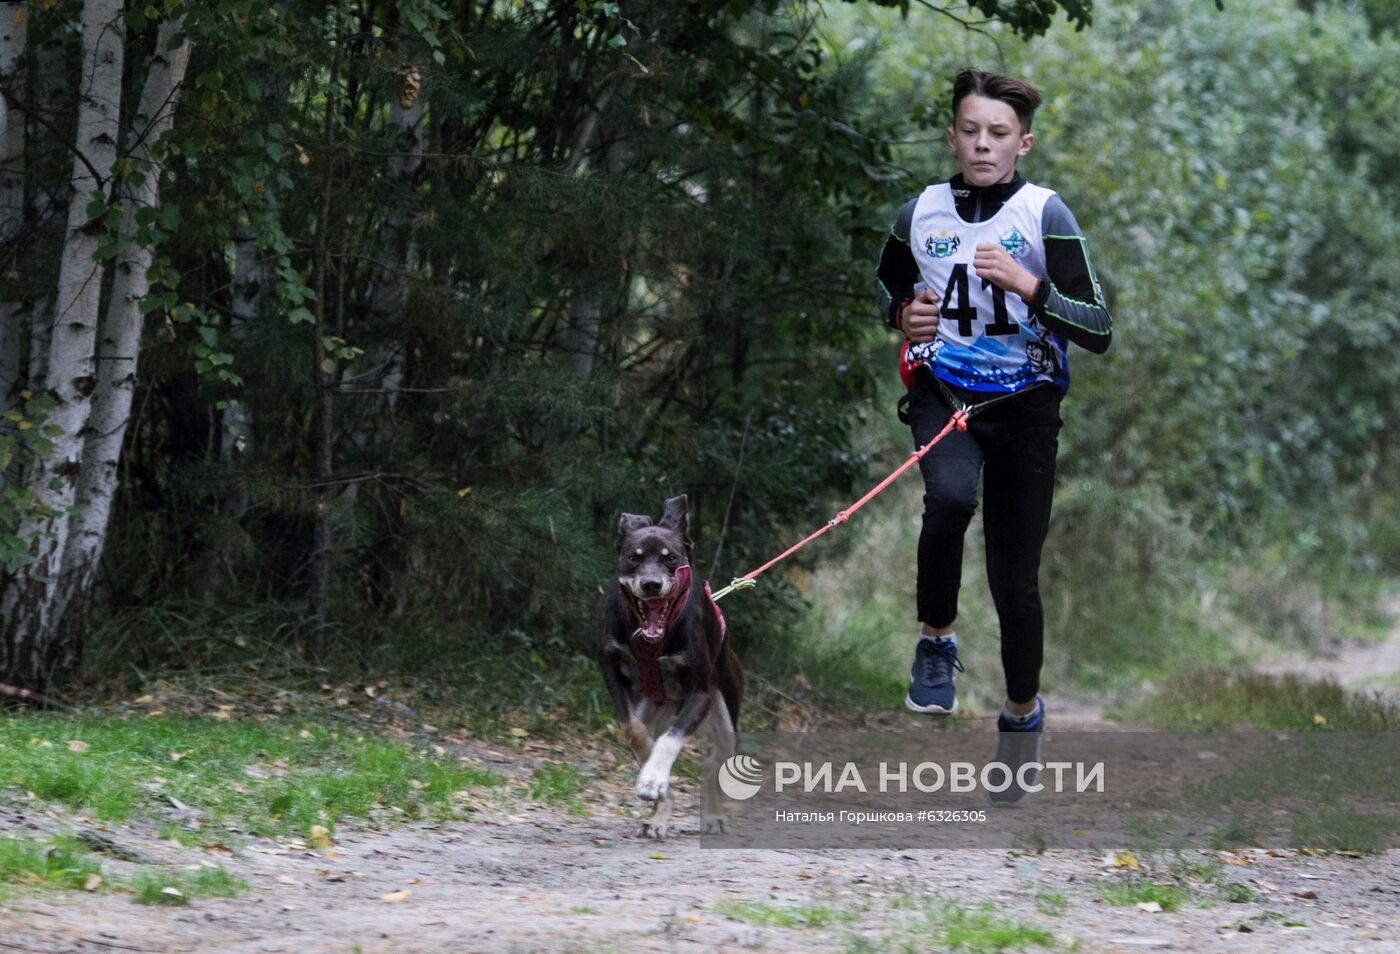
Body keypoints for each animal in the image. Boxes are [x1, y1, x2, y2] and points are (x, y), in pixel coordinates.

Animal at [596, 495, 744, 834]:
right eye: (633, 557)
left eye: (671, 558)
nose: (651, 584)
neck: (652, 642)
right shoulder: (610, 669)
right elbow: (636, 733)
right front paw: (655, 785)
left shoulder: (699, 694)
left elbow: (670, 739)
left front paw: (653, 779)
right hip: (653, 704)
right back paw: (659, 817)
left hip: (726, 712)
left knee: (714, 760)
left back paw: (713, 815)